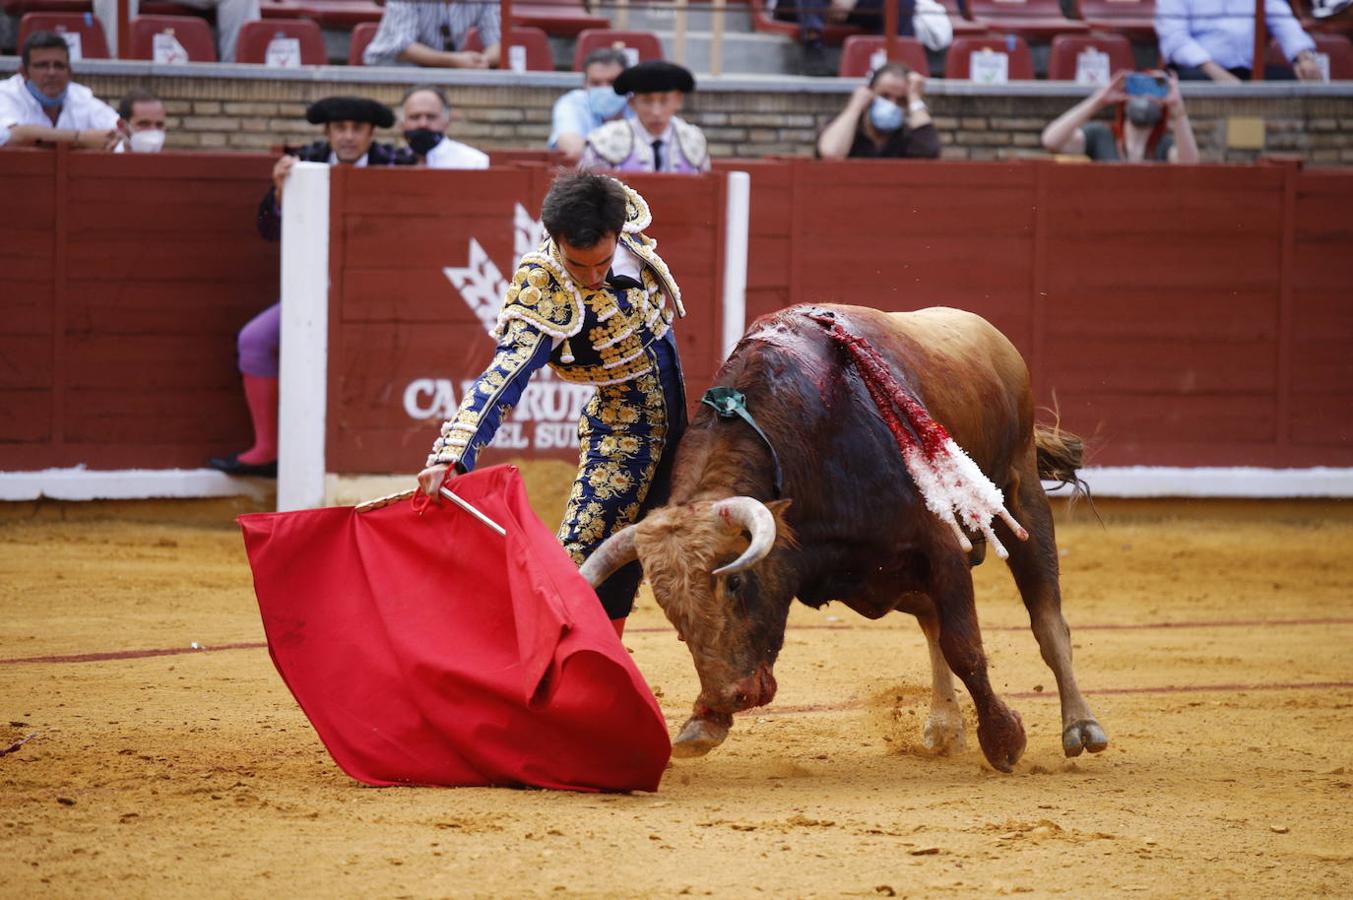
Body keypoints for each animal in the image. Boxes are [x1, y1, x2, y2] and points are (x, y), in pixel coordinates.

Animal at [581, 303, 1109, 774]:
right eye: (670, 609)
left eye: (734, 582)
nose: (729, 696)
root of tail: (991, 336)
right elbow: (944, 633)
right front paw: (703, 723)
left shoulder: (940, 547)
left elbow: (965, 646)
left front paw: (1003, 739)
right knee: (932, 621)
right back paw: (944, 726)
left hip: (1021, 495)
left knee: (1046, 618)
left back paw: (1081, 727)